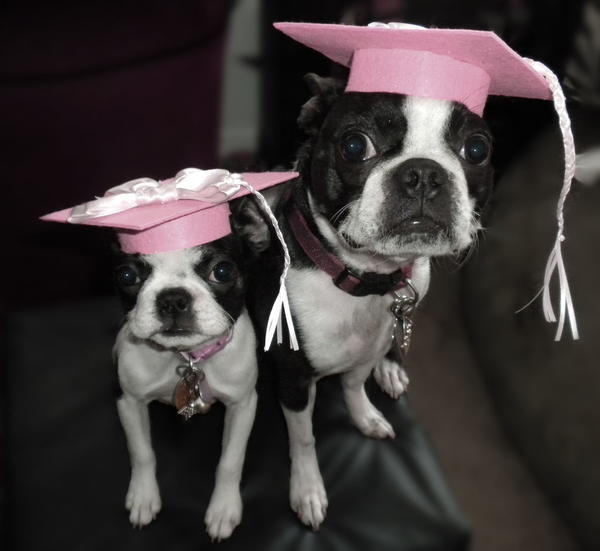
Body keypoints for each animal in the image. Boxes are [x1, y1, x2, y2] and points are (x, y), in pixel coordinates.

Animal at [112, 235, 255, 540]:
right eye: (127, 275)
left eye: (222, 271)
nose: (172, 298)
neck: (186, 356)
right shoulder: (129, 401)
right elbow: (141, 452)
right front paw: (143, 497)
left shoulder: (243, 405)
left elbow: (230, 460)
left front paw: (223, 508)